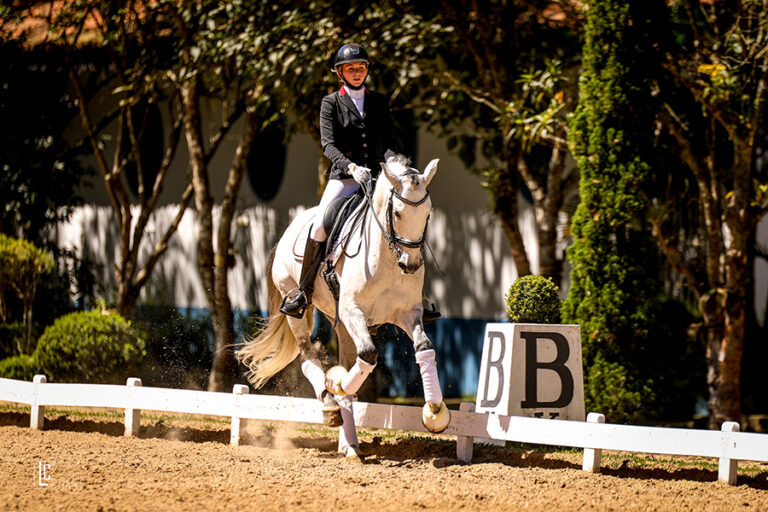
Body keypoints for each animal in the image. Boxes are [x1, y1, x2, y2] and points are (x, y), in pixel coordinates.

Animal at [240, 155, 450, 460]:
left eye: (428, 214)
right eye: (397, 214)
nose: (410, 265)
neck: (386, 258)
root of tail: (288, 231)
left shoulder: (407, 314)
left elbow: (424, 349)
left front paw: (435, 411)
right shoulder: (353, 310)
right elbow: (369, 354)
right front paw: (336, 383)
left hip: (339, 319)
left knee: (348, 359)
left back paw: (349, 444)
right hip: (298, 308)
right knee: (307, 355)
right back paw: (330, 404)